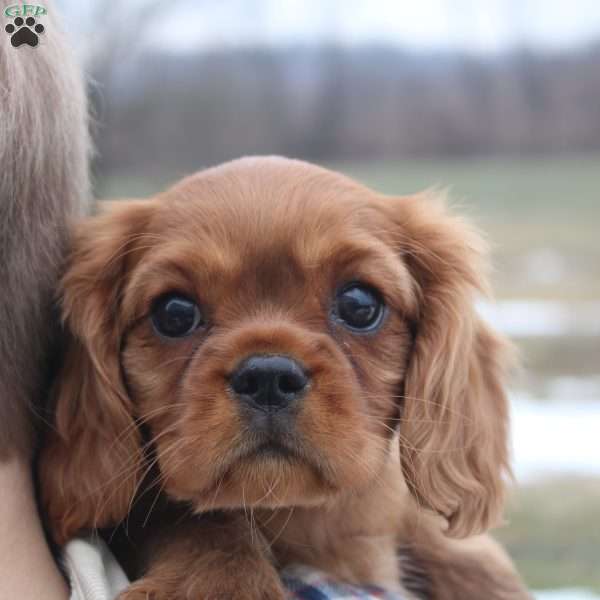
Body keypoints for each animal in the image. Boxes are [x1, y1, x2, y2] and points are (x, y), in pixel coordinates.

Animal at [41, 158, 528, 600]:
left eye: (359, 304)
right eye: (173, 313)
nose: (268, 376)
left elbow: (451, 546)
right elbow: (200, 522)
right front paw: (217, 584)